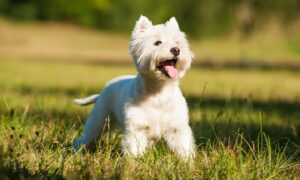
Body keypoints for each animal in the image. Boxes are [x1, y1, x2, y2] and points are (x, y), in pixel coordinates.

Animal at [74, 15, 196, 159]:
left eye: (177, 42)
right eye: (157, 43)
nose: (176, 50)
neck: (158, 93)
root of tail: (103, 91)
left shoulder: (177, 128)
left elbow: (184, 148)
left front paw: (187, 162)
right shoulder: (137, 128)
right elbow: (134, 150)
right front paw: (133, 162)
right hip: (99, 121)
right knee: (85, 137)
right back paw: (77, 150)